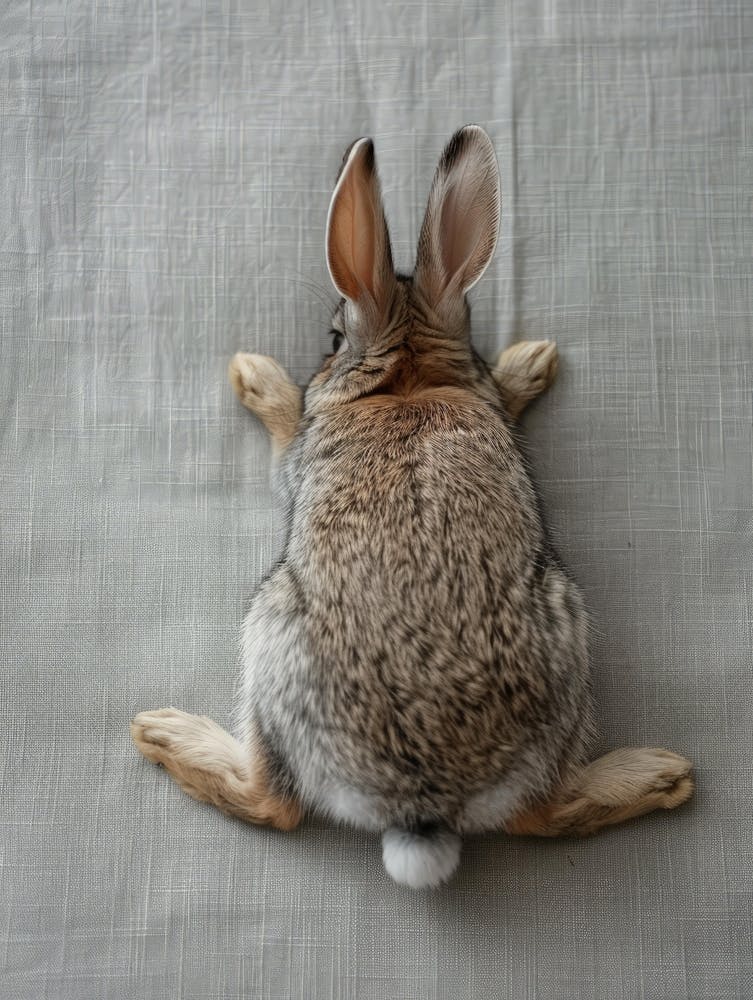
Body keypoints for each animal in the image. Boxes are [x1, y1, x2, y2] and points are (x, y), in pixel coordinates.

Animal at [131, 126, 694, 889]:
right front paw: (530, 362)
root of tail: (422, 807)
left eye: (333, 339)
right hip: (565, 630)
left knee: (274, 802)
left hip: (270, 627)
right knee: (542, 811)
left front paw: (256, 378)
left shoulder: (296, 453)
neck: (404, 381)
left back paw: (166, 732)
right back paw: (660, 774)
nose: (318, 355)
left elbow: (288, 425)